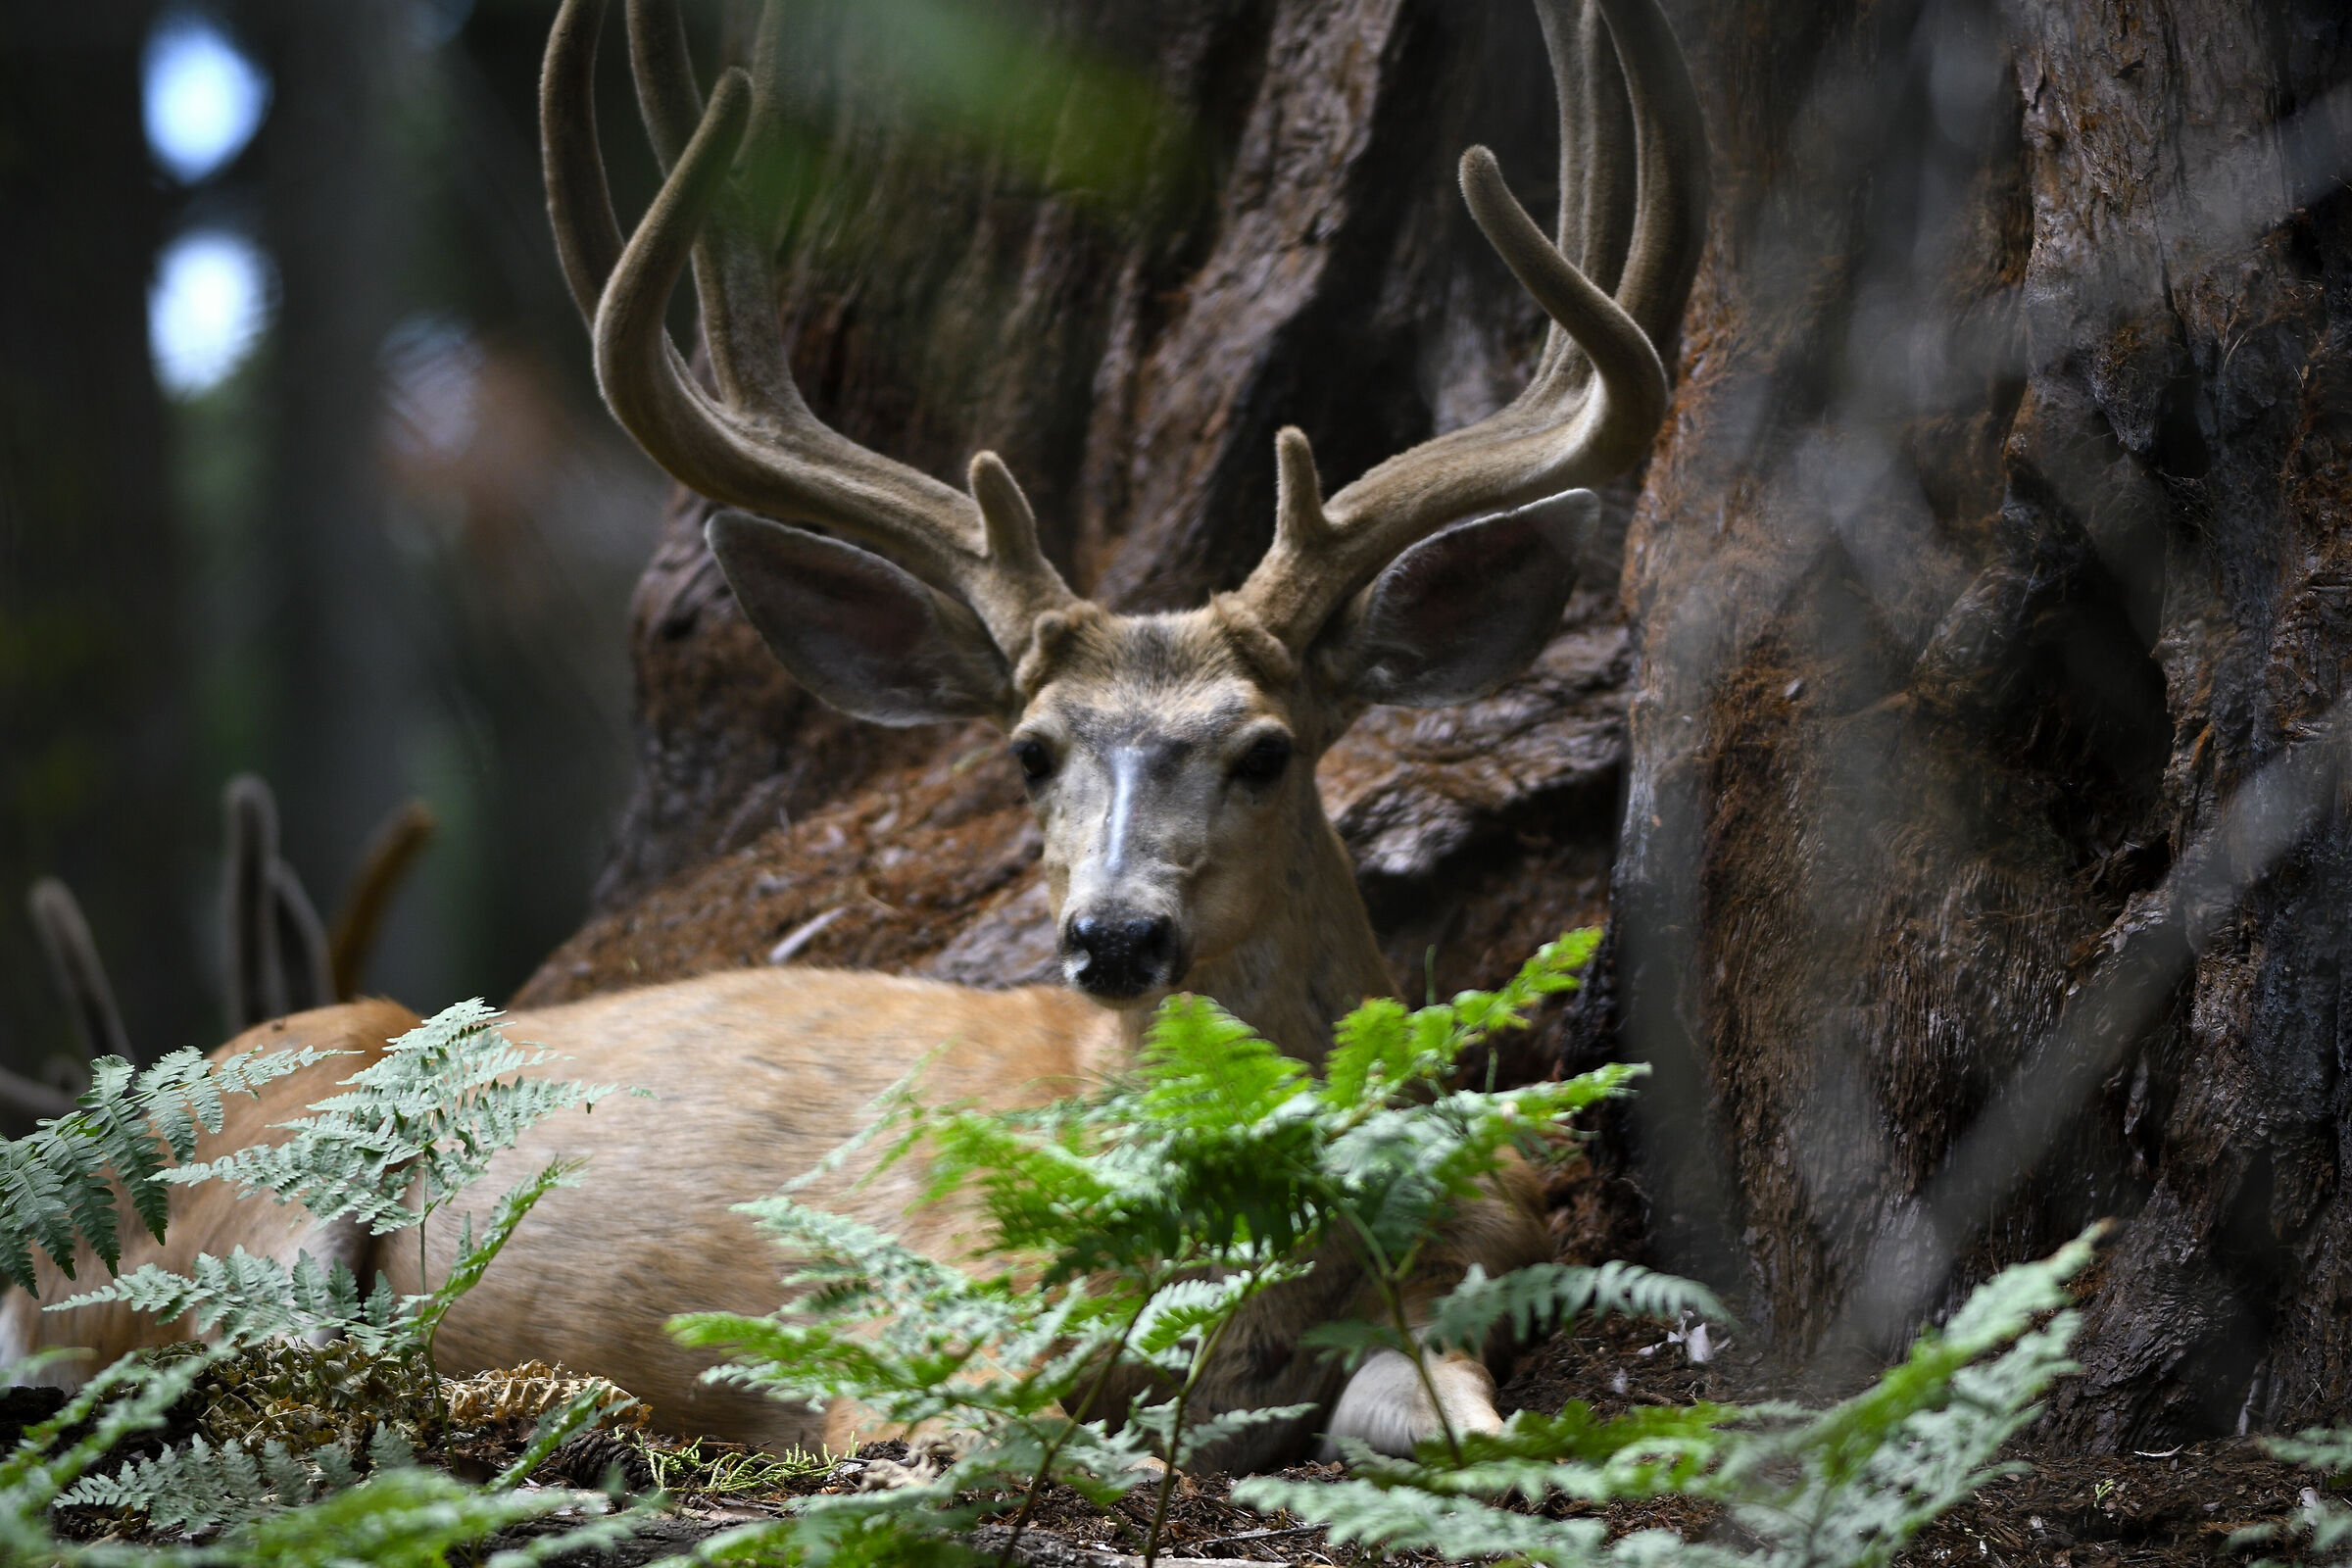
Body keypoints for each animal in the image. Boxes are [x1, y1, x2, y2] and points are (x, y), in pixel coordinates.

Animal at [2, 0, 1706, 1472]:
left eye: (1267, 748)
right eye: (1030, 750)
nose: (1114, 938)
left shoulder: (1478, 1260)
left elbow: (1462, 1414)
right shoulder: (910, 1320)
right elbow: (969, 1433)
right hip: (251, 1197)